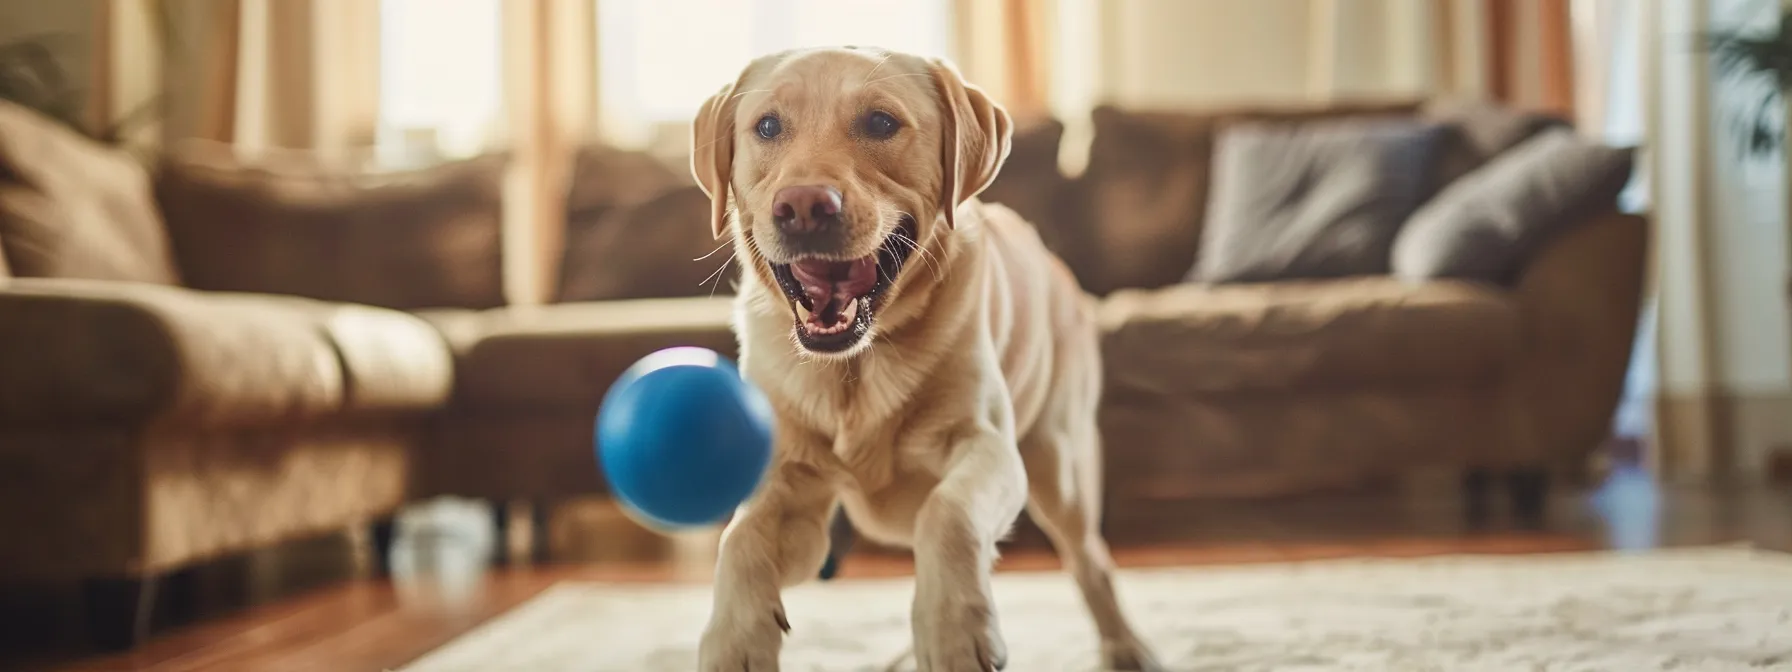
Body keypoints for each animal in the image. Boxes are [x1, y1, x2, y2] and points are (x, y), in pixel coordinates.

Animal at [684, 44, 1161, 670]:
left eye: (880, 122)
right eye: (766, 127)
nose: (804, 206)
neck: (857, 368)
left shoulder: (990, 449)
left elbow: (949, 514)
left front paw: (954, 630)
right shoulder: (791, 490)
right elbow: (739, 538)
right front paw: (734, 638)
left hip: (1060, 467)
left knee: (1090, 561)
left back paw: (1127, 647)